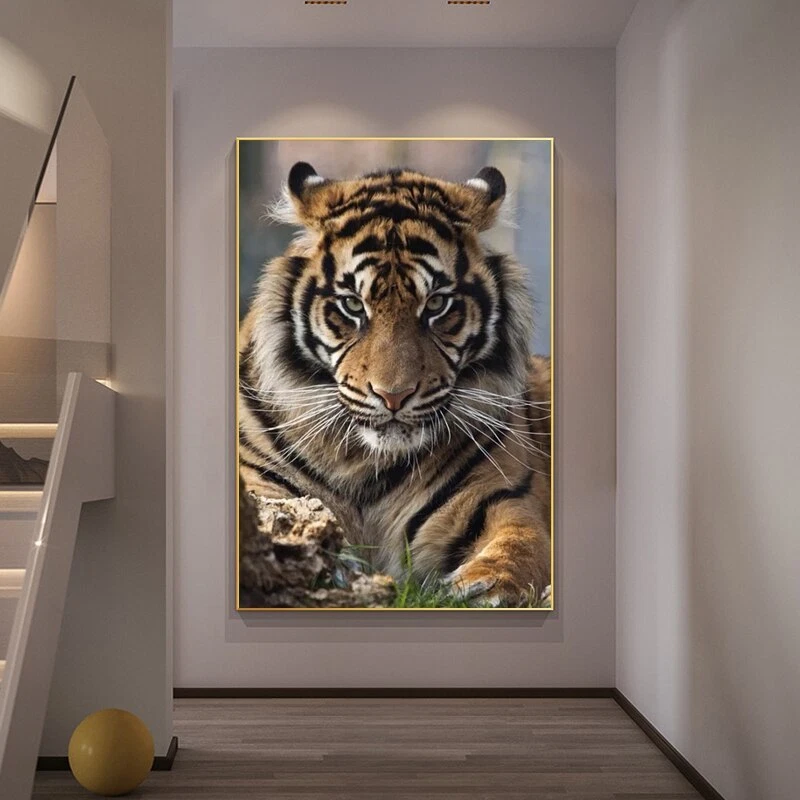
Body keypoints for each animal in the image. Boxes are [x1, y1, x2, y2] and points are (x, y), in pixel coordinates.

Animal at [238, 161, 551, 607]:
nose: (393, 396)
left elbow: (519, 545)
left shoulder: (503, 497)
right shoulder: (260, 484)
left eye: (437, 304)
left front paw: (480, 588)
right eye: (352, 305)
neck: (363, 462)